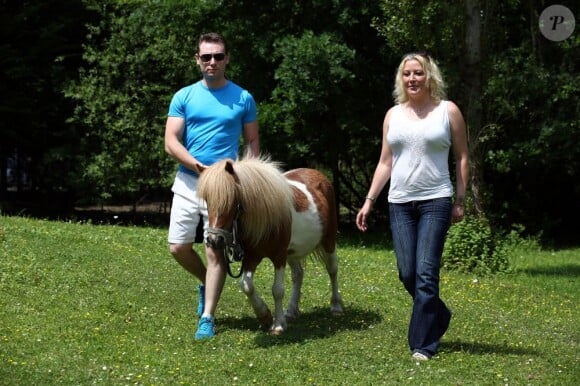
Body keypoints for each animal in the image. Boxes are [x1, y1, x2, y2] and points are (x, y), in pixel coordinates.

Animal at [199, 157, 344, 334]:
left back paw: (336, 306)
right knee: (298, 274)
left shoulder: (279, 256)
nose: (214, 240)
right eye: (207, 200)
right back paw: (291, 311)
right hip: (293, 251)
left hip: (328, 241)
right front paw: (265, 315)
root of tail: (319, 175)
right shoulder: (251, 257)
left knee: (332, 270)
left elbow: (277, 290)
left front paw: (278, 325)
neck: (265, 216)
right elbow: (246, 285)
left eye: (232, 199)